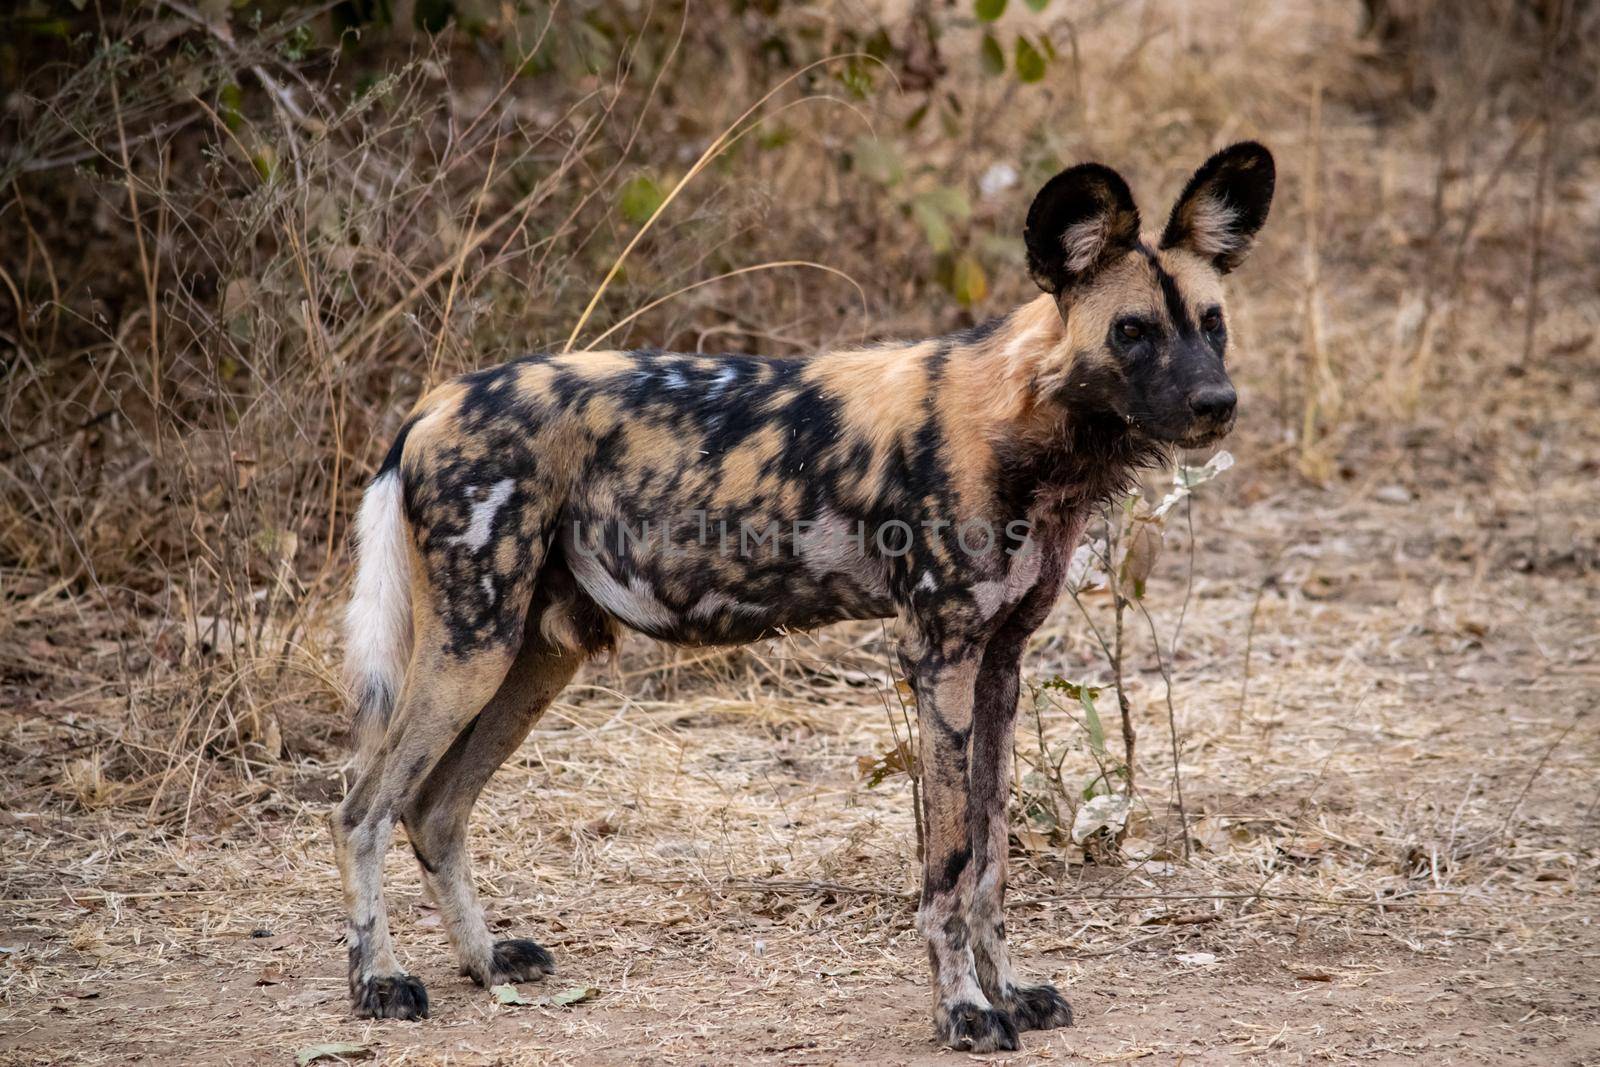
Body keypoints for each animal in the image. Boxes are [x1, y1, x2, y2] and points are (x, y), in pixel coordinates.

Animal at [337, 141, 1273, 1049]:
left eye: (1213, 324)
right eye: (1133, 331)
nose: (1218, 402)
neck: (1028, 427)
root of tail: (432, 406)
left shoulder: (1000, 667)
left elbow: (993, 862)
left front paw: (1010, 990)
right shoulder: (940, 660)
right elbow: (949, 865)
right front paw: (964, 1010)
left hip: (531, 658)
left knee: (434, 811)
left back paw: (486, 959)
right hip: (471, 649)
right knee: (363, 807)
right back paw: (380, 979)